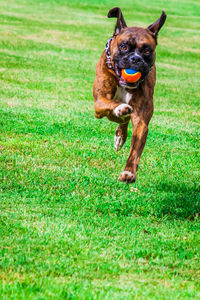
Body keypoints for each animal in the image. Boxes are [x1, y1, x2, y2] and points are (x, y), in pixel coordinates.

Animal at [93, 7, 166, 183]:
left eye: (147, 50)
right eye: (124, 47)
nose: (135, 59)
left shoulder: (141, 121)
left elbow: (136, 150)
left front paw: (129, 172)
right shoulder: (99, 104)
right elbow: (112, 104)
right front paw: (120, 108)